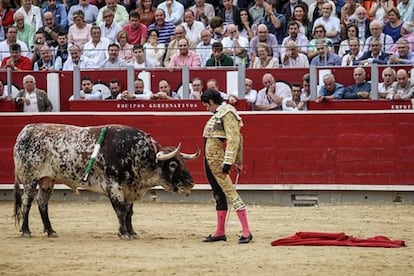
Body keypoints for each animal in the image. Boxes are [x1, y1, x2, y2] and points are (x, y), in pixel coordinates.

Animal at [13, 123, 200, 239]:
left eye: (183, 162)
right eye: (173, 164)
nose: (190, 183)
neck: (136, 152)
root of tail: (26, 130)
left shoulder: (130, 189)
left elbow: (129, 212)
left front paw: (132, 232)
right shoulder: (115, 187)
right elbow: (120, 211)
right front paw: (124, 234)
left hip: (47, 180)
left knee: (42, 204)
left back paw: (51, 231)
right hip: (30, 180)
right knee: (26, 203)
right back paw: (26, 231)